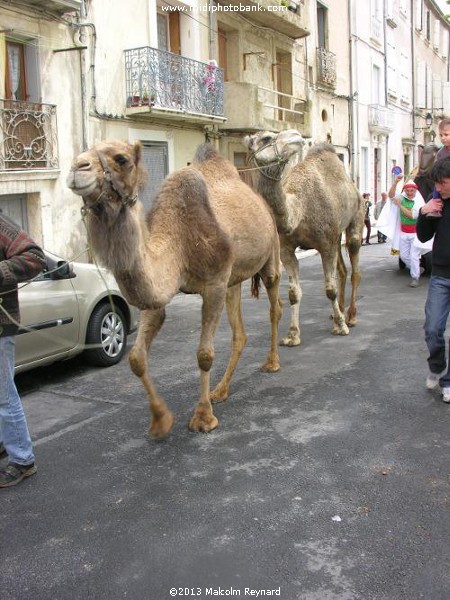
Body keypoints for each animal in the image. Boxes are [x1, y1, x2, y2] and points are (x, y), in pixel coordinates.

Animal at [67, 143, 282, 438]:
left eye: (121, 159)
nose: (78, 168)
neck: (178, 237)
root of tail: (260, 200)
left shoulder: (214, 283)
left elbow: (204, 354)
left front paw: (203, 418)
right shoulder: (162, 294)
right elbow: (136, 357)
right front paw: (160, 419)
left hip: (270, 252)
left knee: (275, 306)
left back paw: (272, 363)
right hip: (234, 280)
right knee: (240, 333)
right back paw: (220, 391)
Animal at [244, 130, 364, 346]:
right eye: (266, 138)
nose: (295, 134)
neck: (299, 211)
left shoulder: (325, 244)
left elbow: (330, 288)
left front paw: (341, 327)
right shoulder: (286, 249)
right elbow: (293, 293)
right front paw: (292, 335)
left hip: (356, 217)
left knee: (354, 268)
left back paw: (350, 317)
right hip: (337, 235)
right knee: (342, 270)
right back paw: (339, 312)